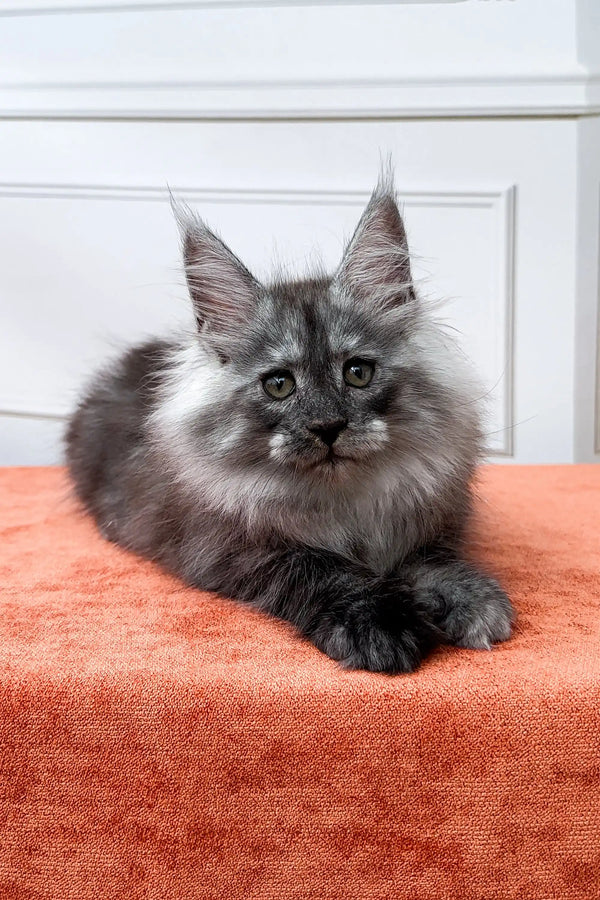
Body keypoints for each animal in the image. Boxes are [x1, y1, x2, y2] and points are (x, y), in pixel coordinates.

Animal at [67, 176, 516, 672]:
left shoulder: (428, 522)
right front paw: (381, 625)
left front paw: (470, 600)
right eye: (279, 384)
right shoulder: (232, 549)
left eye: (358, 373)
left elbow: (428, 560)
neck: (344, 504)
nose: (328, 426)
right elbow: (324, 571)